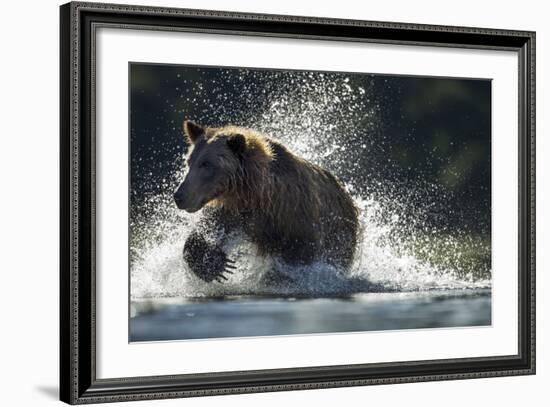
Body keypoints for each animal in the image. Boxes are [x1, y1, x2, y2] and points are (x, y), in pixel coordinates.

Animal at [175, 119, 360, 282]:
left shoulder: (294, 218)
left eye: (206, 164)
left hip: (341, 232)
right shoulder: (235, 211)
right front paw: (216, 265)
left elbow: (300, 257)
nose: (179, 196)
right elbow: (208, 231)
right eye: (189, 161)